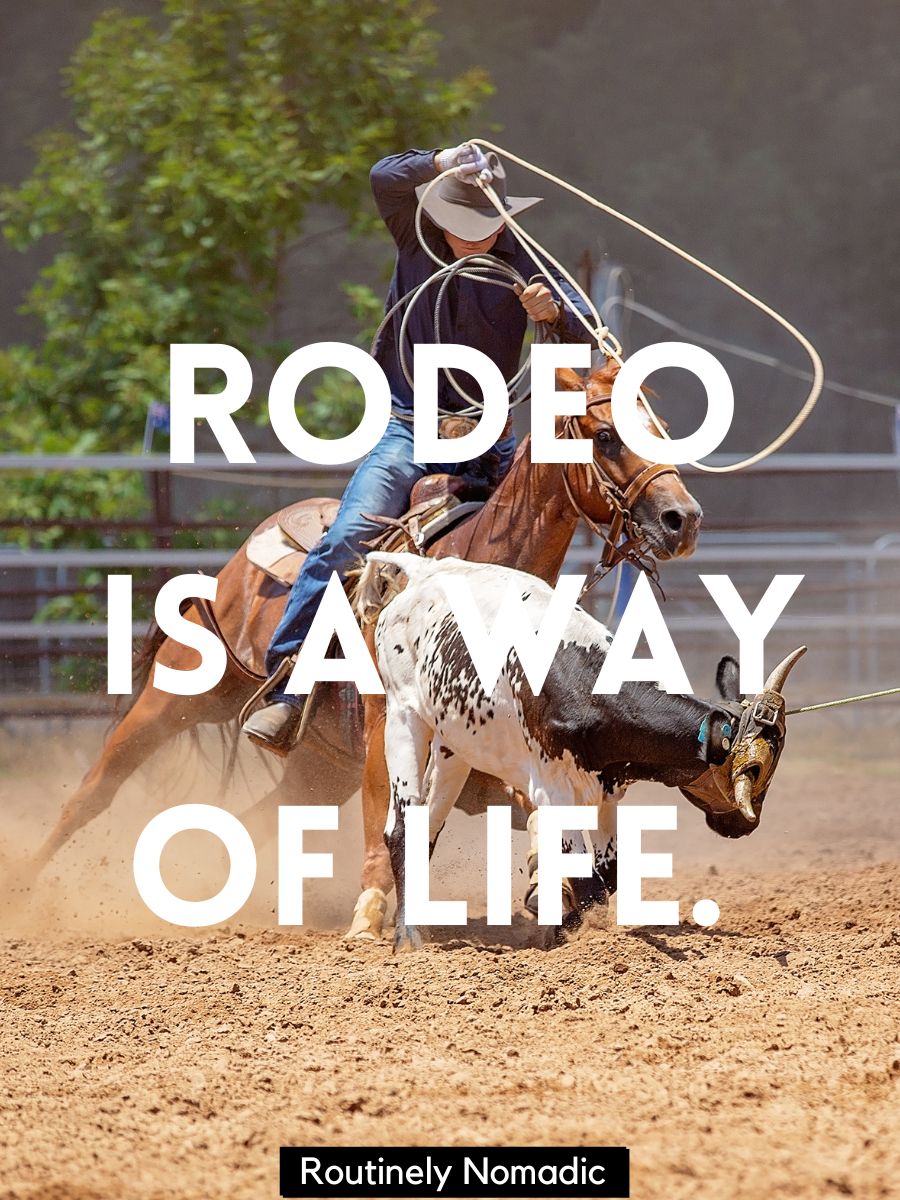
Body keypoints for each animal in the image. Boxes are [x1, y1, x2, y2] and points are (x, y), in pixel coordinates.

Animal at [19, 361, 702, 936]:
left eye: (663, 428)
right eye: (606, 435)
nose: (684, 519)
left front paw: (551, 892)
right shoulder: (386, 728)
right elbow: (388, 821)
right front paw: (372, 914)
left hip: (317, 767)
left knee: (260, 817)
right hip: (180, 696)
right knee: (94, 791)